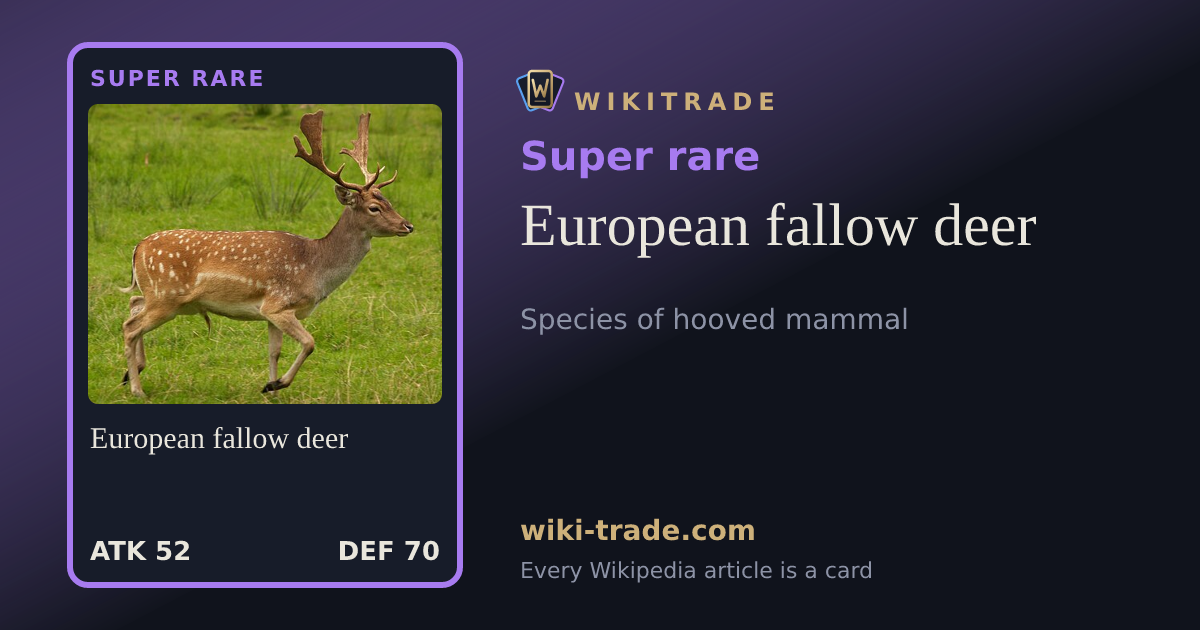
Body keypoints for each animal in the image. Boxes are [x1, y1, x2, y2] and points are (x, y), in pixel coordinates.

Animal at [118, 110, 415, 398]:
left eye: (389, 201)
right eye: (374, 207)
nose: (408, 225)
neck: (315, 268)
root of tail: (138, 247)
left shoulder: (271, 313)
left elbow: (274, 351)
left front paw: (270, 388)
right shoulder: (278, 304)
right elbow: (309, 343)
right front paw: (277, 384)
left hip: (165, 298)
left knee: (134, 304)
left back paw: (130, 373)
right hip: (166, 296)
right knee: (130, 326)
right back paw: (136, 389)